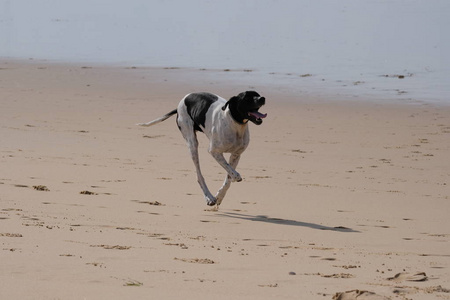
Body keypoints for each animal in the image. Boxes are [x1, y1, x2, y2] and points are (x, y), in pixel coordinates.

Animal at [137, 91, 268, 206]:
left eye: (257, 94)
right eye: (246, 98)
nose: (262, 98)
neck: (234, 124)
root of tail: (180, 104)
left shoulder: (236, 155)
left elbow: (228, 178)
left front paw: (220, 196)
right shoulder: (214, 152)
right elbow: (231, 172)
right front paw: (236, 178)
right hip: (192, 144)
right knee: (199, 175)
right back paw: (208, 197)